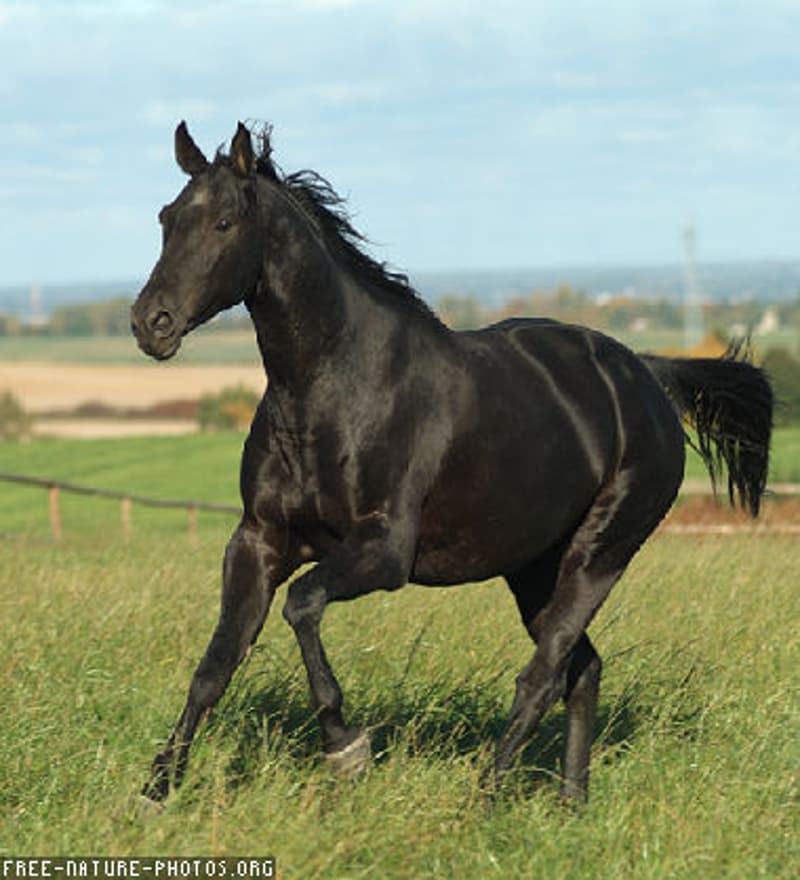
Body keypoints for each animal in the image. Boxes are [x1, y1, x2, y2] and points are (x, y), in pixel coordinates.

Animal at [131, 121, 772, 804]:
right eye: (167, 217)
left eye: (224, 222)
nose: (150, 323)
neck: (333, 390)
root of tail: (648, 376)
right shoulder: (258, 541)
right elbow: (216, 664)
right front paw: (158, 790)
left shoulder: (384, 551)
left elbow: (302, 605)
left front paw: (344, 746)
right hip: (534, 567)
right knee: (582, 669)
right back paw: (572, 803)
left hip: (599, 556)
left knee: (543, 675)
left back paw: (483, 801)